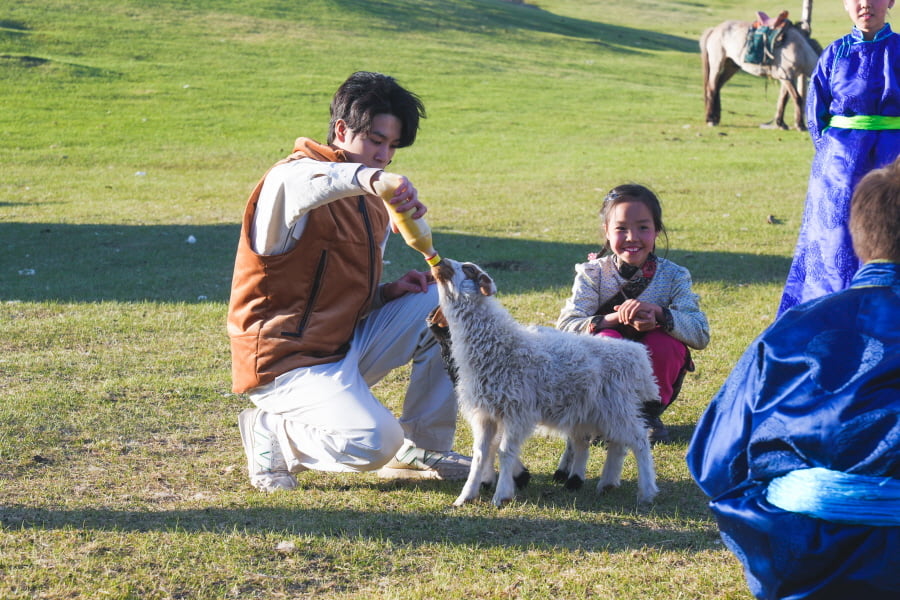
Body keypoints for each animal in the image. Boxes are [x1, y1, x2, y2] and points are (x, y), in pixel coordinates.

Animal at [432, 258, 656, 506]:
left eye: (469, 269)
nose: (439, 262)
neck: (500, 345)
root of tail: (636, 354)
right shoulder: (485, 413)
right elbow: (481, 453)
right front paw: (466, 496)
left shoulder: (517, 411)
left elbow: (504, 451)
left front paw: (501, 496)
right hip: (601, 410)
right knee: (617, 444)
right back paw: (607, 483)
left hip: (617, 406)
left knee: (639, 441)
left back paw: (647, 491)